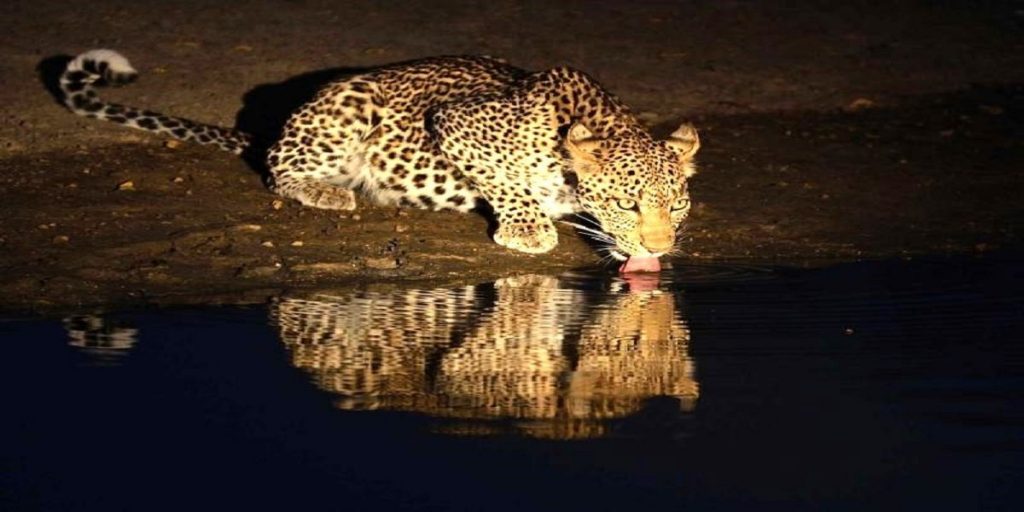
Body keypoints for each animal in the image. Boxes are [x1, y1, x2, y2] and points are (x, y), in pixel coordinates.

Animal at [59, 49, 700, 270]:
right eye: (626, 204)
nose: (661, 248)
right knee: (277, 168)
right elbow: (505, 179)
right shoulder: (456, 123)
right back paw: (329, 189)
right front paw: (527, 228)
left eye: (678, 207)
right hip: (350, 104)